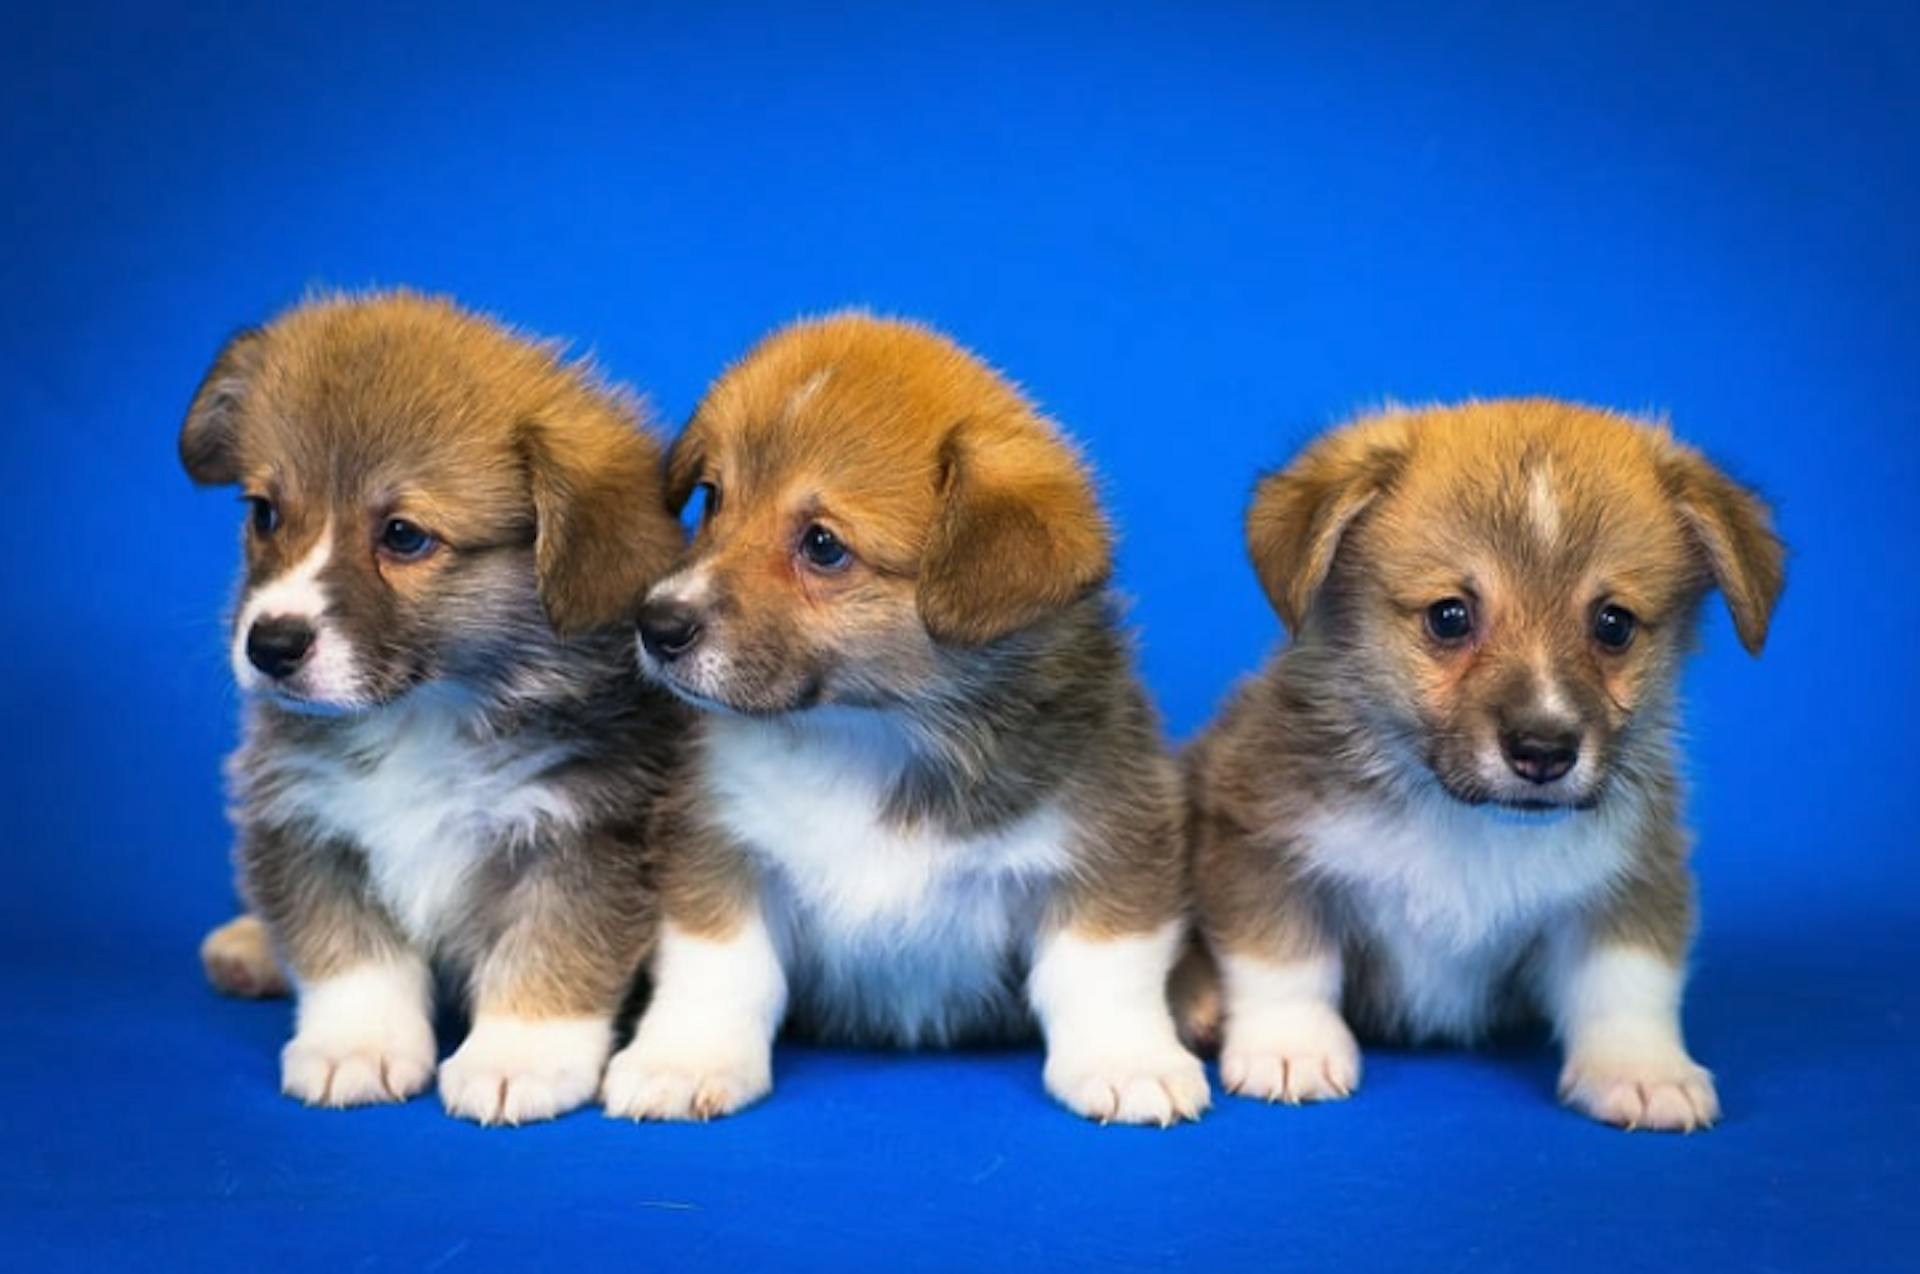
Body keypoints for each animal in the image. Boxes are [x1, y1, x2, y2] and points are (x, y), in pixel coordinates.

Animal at [174, 291, 683, 1128]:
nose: (269, 645)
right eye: (265, 514)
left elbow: (547, 954)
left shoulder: (582, 834)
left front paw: (516, 1058)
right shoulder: (307, 821)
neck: (424, 713)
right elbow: (349, 954)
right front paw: (357, 1047)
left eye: (404, 536)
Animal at [599, 316, 1205, 1128]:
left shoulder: (1107, 844)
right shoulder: (717, 846)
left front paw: (1128, 1062)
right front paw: (685, 1058)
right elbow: (719, 967)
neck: (872, 734)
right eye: (713, 498)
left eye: (823, 545)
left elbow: (1102, 969)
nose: (655, 624)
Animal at [1182, 401, 1781, 1135]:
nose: (1544, 749)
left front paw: (1642, 1070)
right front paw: (1291, 1047)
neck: (1468, 823)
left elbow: (1627, 980)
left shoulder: (1630, 877)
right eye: (1450, 616)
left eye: (1613, 624)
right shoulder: (1265, 845)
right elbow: (1285, 959)